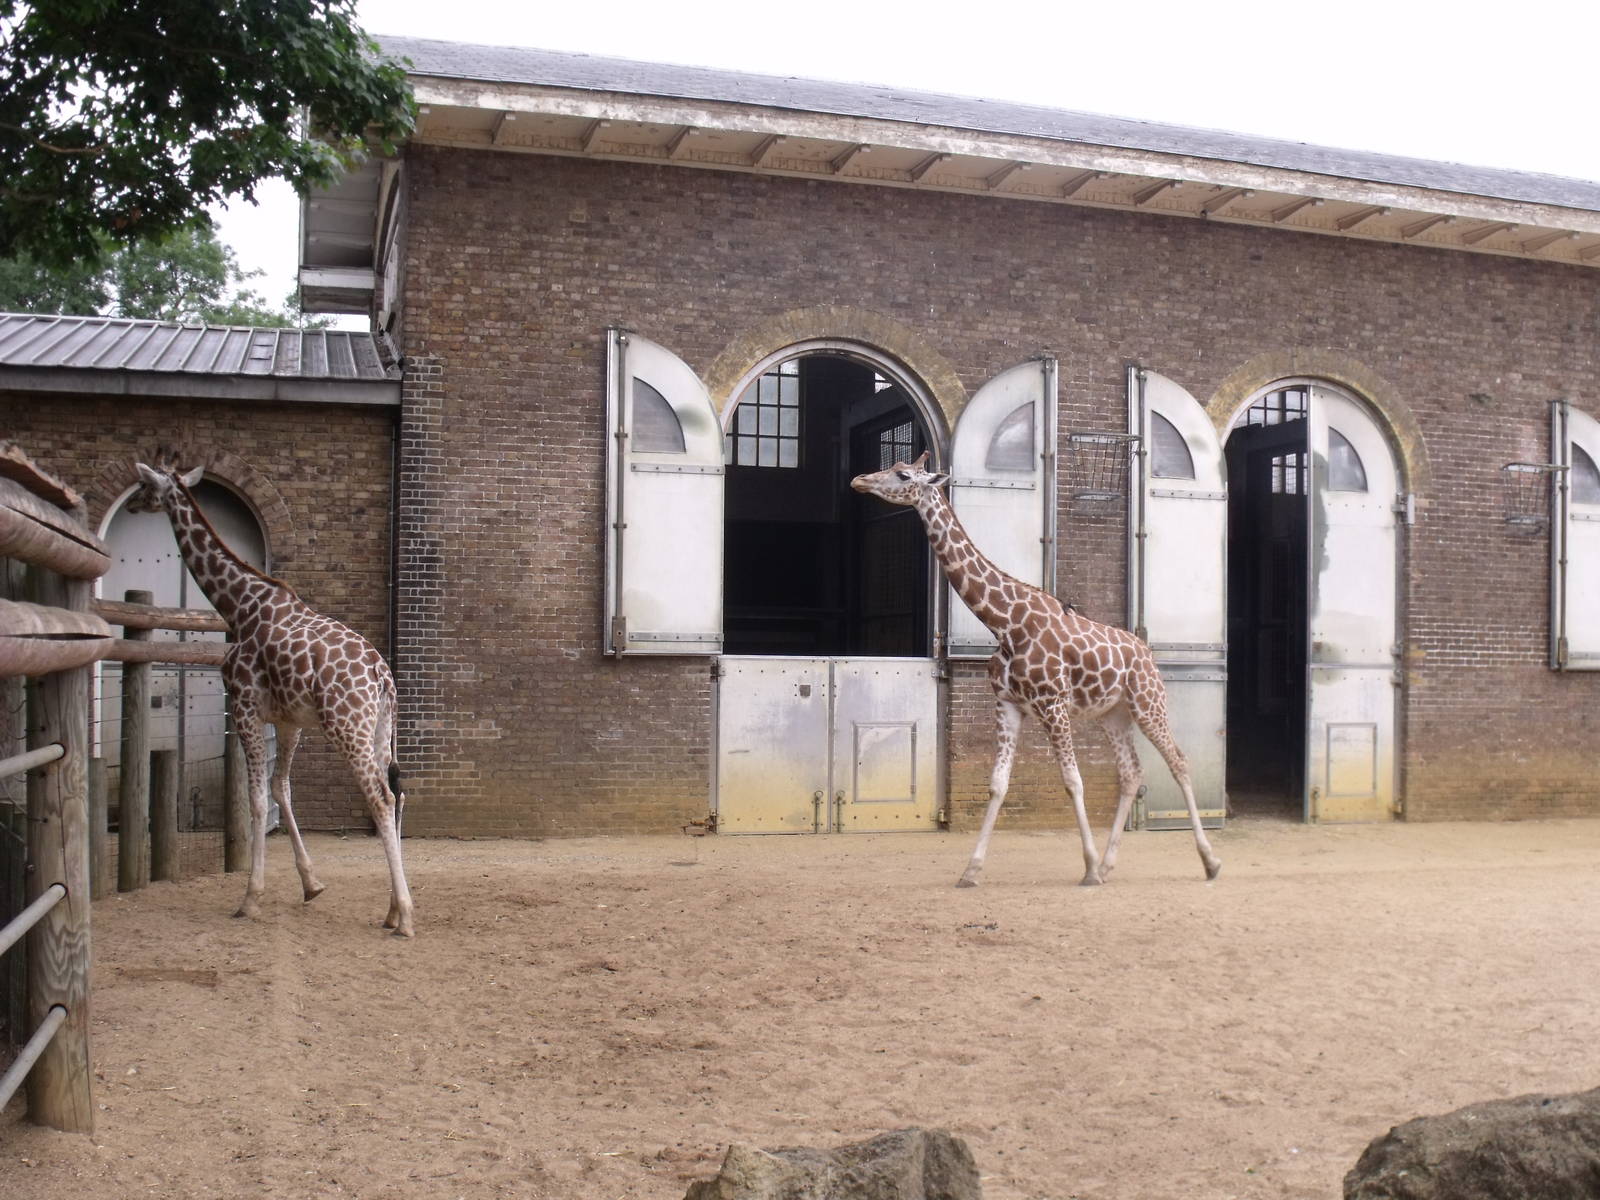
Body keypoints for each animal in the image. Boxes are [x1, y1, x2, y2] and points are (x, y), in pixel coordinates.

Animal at [128, 463, 415, 936]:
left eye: (145, 485)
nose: (132, 504)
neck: (239, 605)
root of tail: (381, 675)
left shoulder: (243, 703)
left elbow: (257, 799)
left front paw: (250, 898)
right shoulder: (288, 720)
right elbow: (282, 788)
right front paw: (311, 884)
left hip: (346, 725)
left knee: (380, 797)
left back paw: (406, 916)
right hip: (379, 728)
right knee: (396, 792)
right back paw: (392, 910)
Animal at [851, 453, 1220, 888]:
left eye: (903, 474)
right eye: (892, 466)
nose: (859, 480)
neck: (1005, 623)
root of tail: (1146, 653)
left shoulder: (1053, 704)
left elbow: (1073, 781)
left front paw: (1088, 868)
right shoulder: (1007, 704)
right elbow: (997, 784)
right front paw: (971, 870)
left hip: (1148, 705)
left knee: (1179, 761)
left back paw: (1209, 862)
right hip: (1113, 715)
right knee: (1131, 773)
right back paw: (1111, 865)